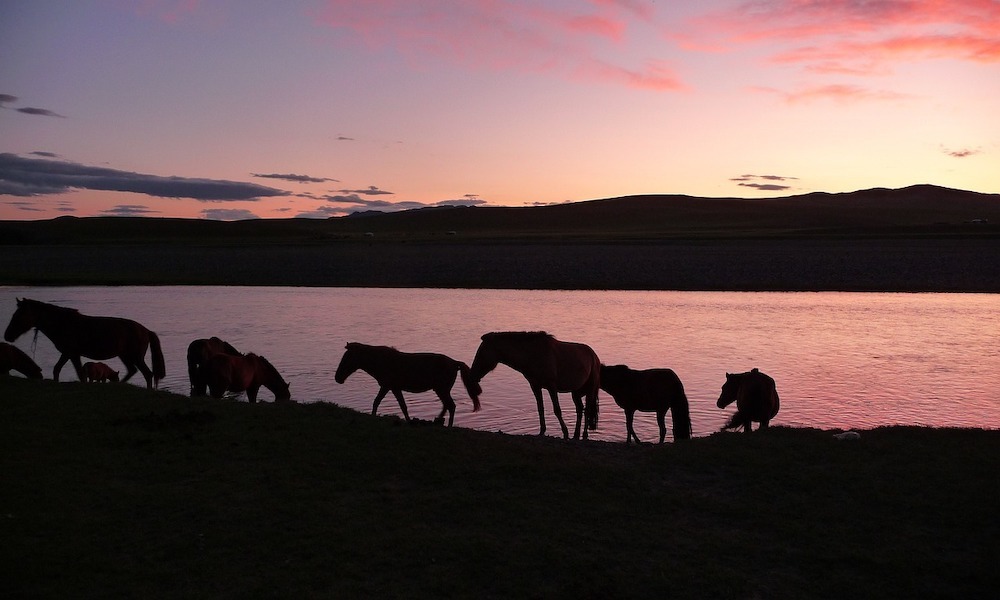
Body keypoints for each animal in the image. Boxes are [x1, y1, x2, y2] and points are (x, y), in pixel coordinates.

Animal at [3, 296, 164, 390]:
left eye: (19, 315)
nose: (7, 335)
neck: (63, 323)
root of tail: (146, 330)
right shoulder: (68, 353)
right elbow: (58, 369)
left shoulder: (71, 353)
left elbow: (79, 374)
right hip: (125, 356)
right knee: (133, 371)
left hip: (136, 357)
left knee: (147, 374)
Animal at [334, 342, 482, 426]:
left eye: (347, 358)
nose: (337, 378)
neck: (381, 360)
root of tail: (455, 363)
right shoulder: (394, 388)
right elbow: (402, 406)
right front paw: (409, 420)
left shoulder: (387, 386)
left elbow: (378, 402)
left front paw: (373, 417)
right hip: (441, 390)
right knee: (447, 406)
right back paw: (438, 421)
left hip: (442, 390)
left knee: (451, 406)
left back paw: (448, 425)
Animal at [470, 330, 600, 438]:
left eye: (481, 353)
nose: (473, 374)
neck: (534, 355)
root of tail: (594, 356)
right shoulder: (535, 386)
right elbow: (540, 408)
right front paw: (542, 431)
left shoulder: (551, 386)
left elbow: (557, 410)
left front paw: (565, 432)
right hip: (575, 392)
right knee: (580, 409)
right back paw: (576, 434)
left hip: (590, 390)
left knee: (587, 409)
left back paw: (584, 434)